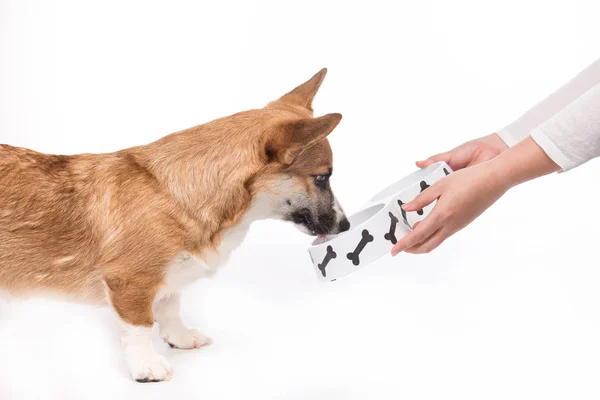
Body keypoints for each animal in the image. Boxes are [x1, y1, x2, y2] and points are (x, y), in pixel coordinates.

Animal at [0, 68, 346, 382]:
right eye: (322, 177)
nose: (344, 226)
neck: (177, 195)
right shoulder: (130, 282)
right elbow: (140, 327)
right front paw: (147, 367)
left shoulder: (170, 276)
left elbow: (170, 307)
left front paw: (179, 338)